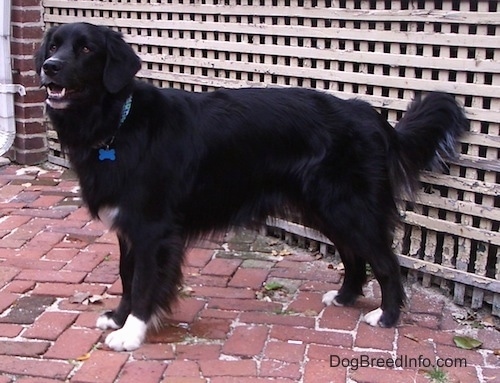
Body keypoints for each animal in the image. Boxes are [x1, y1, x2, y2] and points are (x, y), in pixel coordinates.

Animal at [36, 21, 468, 352]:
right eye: (54, 45)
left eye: (87, 48)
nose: (49, 67)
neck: (117, 124)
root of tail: (375, 118)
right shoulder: (129, 228)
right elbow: (127, 276)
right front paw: (119, 318)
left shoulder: (153, 230)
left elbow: (143, 282)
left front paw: (132, 333)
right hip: (326, 207)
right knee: (353, 256)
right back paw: (345, 297)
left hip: (350, 207)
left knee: (385, 262)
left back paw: (387, 315)